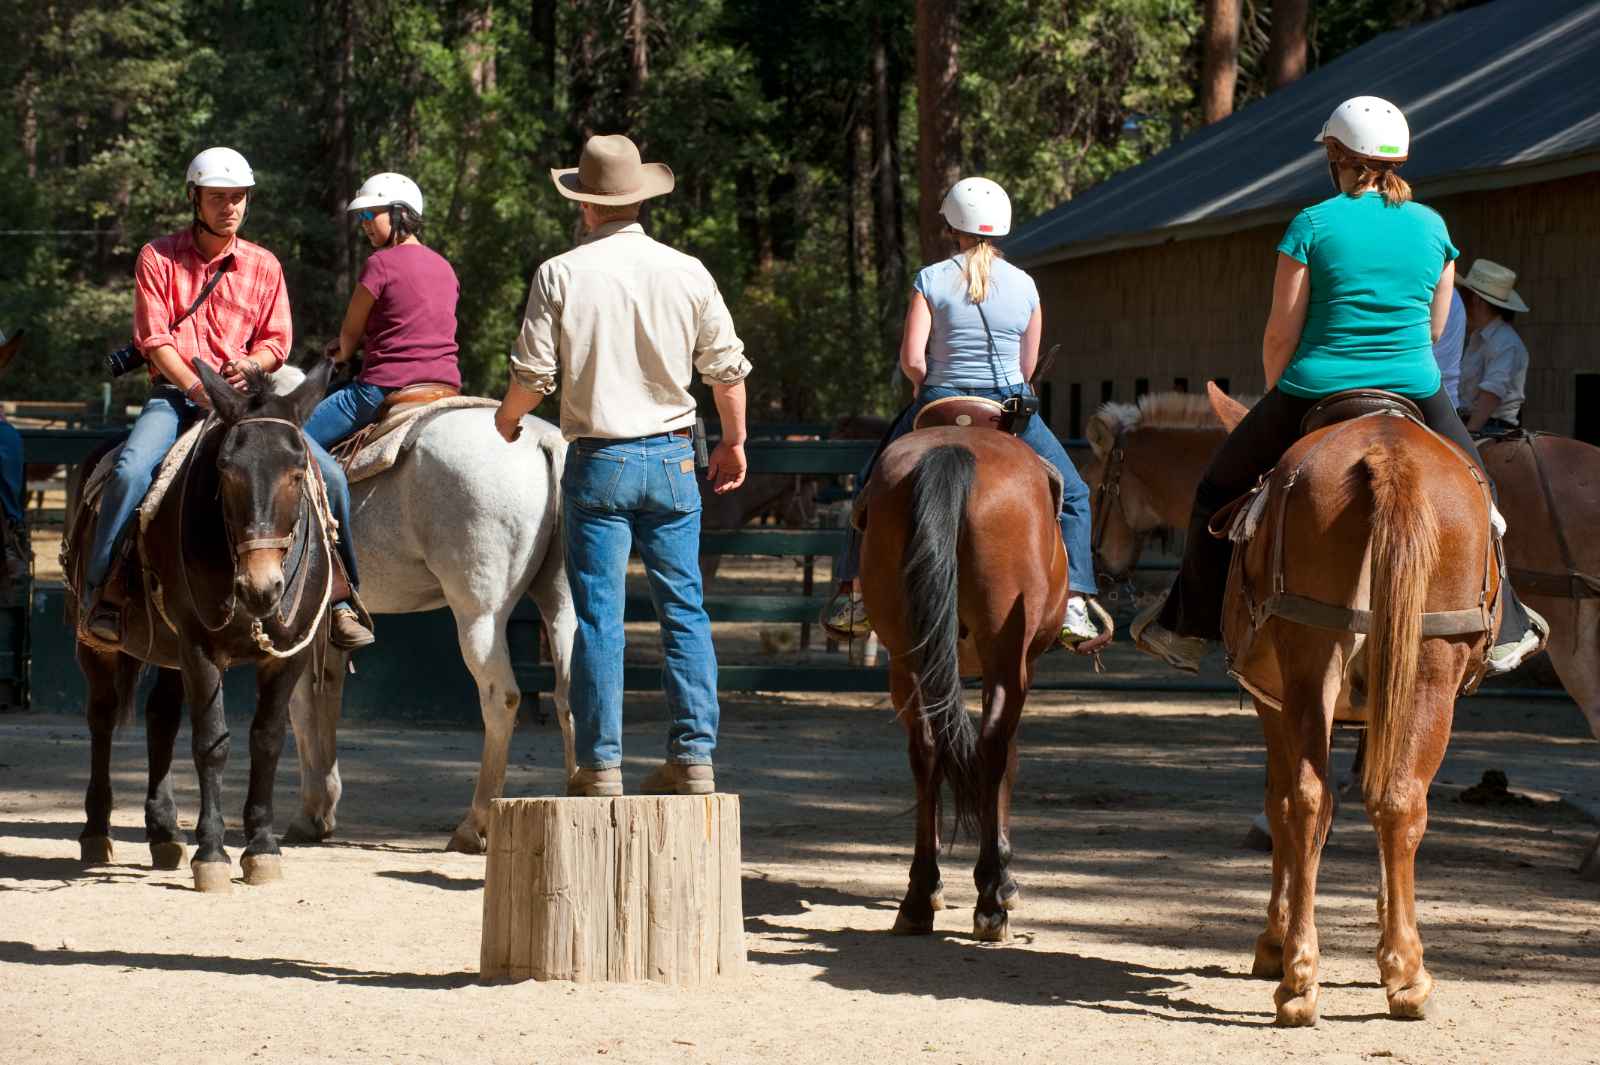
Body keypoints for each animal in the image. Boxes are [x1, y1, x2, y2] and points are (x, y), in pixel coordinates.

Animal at [64, 356, 336, 889]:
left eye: (297, 473)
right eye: (225, 472)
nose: (261, 586)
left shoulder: (288, 655)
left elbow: (267, 739)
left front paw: (261, 846)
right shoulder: (199, 647)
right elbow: (212, 742)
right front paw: (211, 852)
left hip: (168, 653)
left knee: (161, 719)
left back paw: (164, 832)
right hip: (98, 646)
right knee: (102, 718)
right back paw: (96, 831)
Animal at [286, 393, 576, 850]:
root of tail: (544, 442)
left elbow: (300, 707)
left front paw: (308, 814)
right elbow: (325, 697)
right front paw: (321, 812)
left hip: (480, 616)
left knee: (501, 698)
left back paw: (474, 826)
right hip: (561, 602)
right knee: (571, 693)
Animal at [857, 422, 1068, 940]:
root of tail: (955, 449)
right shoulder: (1022, 665)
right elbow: (1009, 756)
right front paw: (1005, 879)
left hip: (906, 659)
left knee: (926, 750)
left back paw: (918, 897)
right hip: (1004, 655)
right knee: (992, 748)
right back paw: (991, 898)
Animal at [1209, 383, 1497, 1023]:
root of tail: (1388, 452)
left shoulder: (1273, 703)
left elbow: (1280, 805)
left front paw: (1276, 939)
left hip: (1317, 662)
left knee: (1313, 798)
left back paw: (1301, 974)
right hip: (1424, 660)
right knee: (1392, 799)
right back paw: (1398, 973)